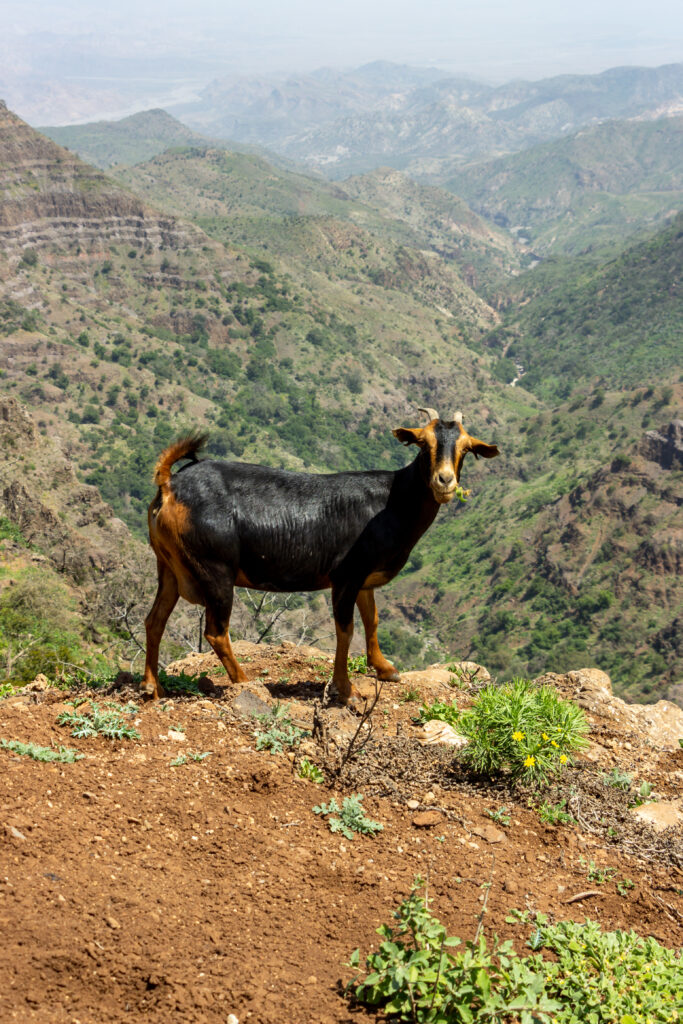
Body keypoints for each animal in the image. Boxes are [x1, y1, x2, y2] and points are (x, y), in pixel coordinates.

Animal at [143, 407, 497, 704]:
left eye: (466, 448)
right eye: (423, 444)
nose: (445, 481)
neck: (391, 500)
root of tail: (170, 485)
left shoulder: (363, 579)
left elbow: (372, 619)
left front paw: (385, 669)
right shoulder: (346, 576)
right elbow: (346, 630)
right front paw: (346, 690)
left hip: (168, 567)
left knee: (154, 620)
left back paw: (153, 688)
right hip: (215, 568)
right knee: (216, 632)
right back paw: (244, 682)